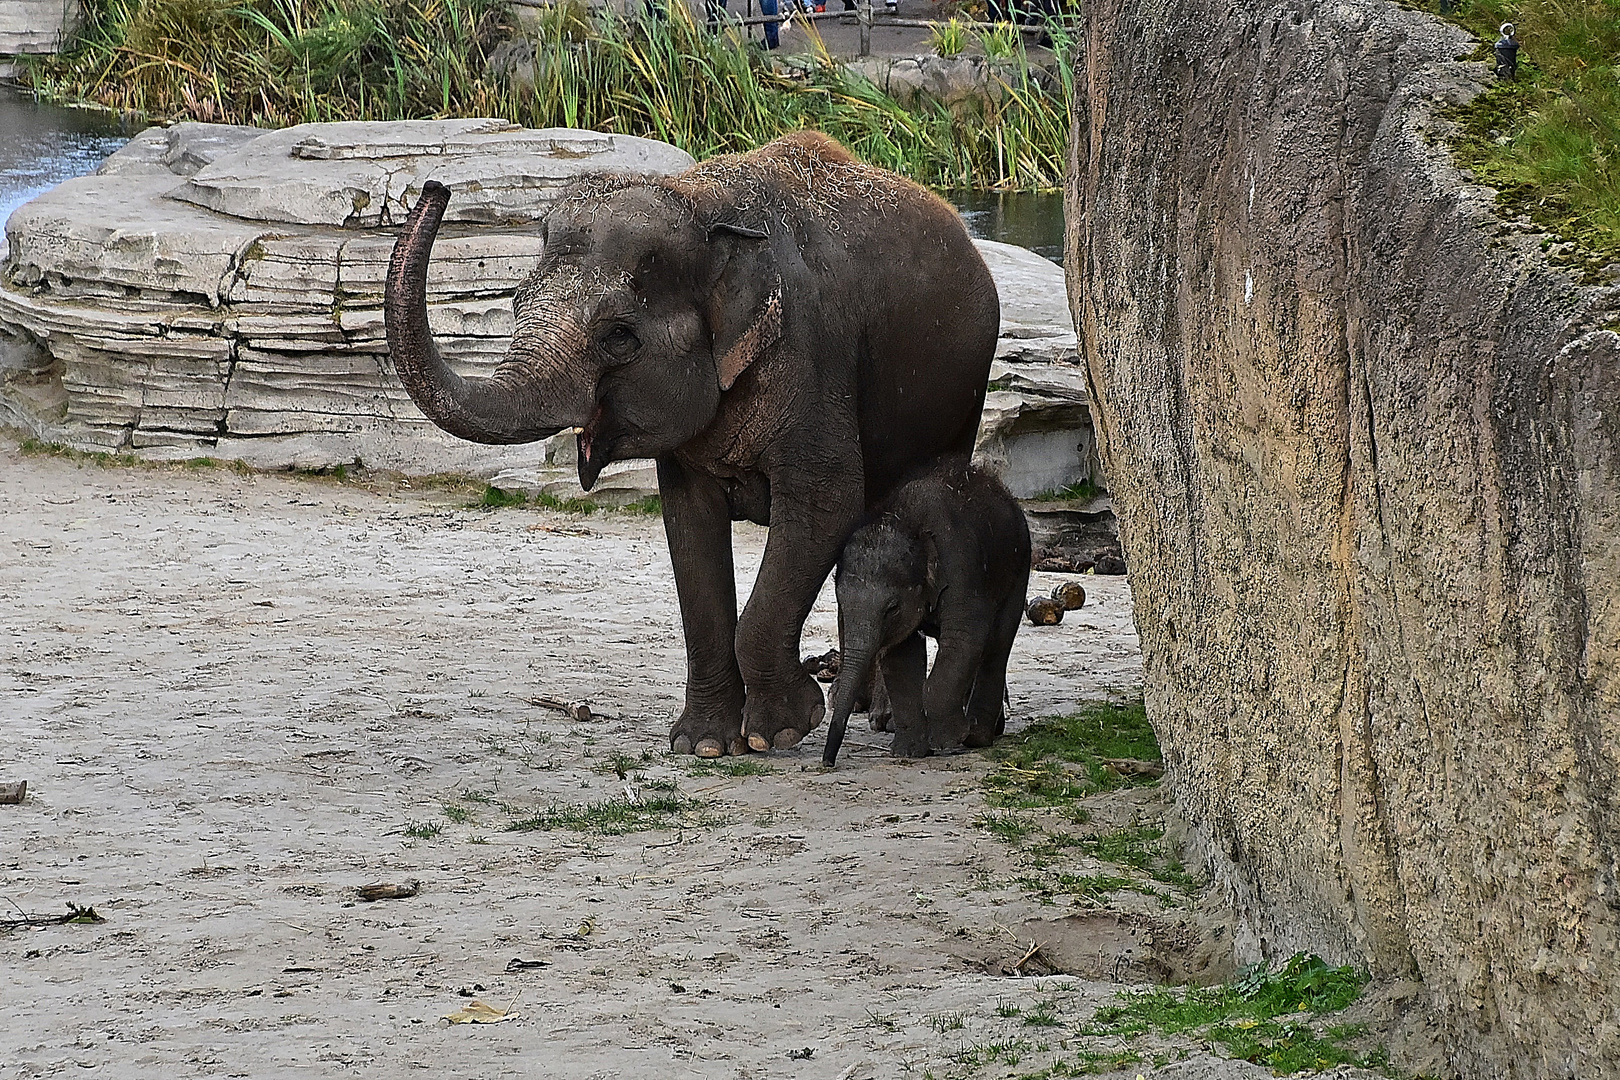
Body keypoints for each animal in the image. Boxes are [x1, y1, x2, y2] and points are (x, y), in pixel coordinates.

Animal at [388, 131, 997, 757]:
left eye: (619, 337)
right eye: (515, 303)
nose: (435, 185)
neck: (702, 203)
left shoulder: (812, 352)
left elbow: (825, 503)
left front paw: (778, 732)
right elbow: (690, 527)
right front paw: (703, 745)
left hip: (961, 398)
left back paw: (883, 719)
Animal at [822, 456, 1023, 767]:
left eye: (892, 608)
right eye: (840, 604)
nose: (827, 762)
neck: (908, 520)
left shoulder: (960, 565)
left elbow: (965, 637)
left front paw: (950, 739)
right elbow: (901, 656)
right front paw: (908, 752)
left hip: (1018, 566)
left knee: (997, 643)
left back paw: (977, 736)